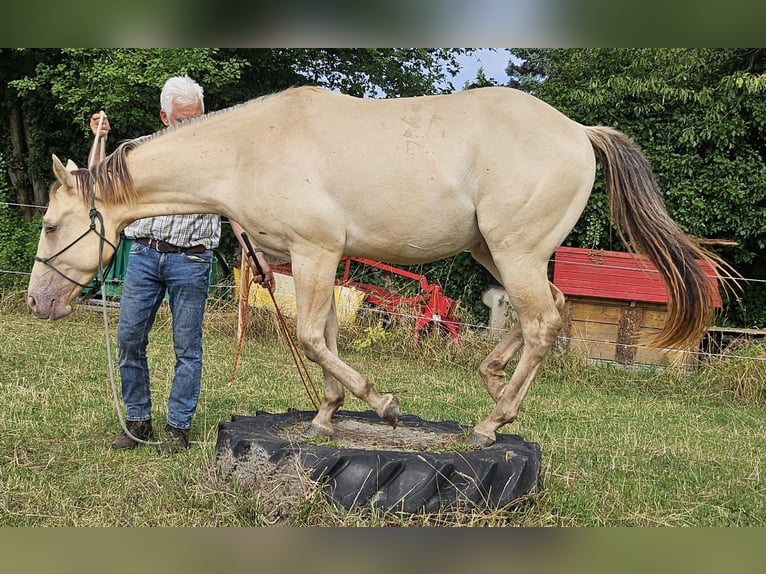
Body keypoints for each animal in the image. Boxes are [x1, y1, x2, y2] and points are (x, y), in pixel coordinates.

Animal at [27, 86, 726, 448]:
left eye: (52, 225)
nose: (38, 302)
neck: (251, 148)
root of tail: (579, 131)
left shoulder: (313, 253)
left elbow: (312, 336)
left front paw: (382, 405)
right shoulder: (320, 260)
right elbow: (327, 339)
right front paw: (327, 414)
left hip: (516, 251)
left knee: (543, 323)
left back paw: (490, 422)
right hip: (501, 252)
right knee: (543, 316)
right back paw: (496, 391)